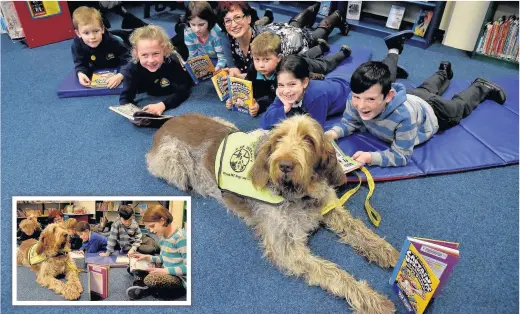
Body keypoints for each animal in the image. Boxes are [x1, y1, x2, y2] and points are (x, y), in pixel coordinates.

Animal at [146, 113, 398, 314]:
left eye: (309, 139)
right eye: (278, 139)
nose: (284, 165)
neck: (299, 195)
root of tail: (166, 124)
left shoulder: (328, 207)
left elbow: (358, 229)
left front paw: (387, 252)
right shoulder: (286, 248)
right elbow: (334, 272)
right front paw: (372, 299)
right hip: (175, 164)